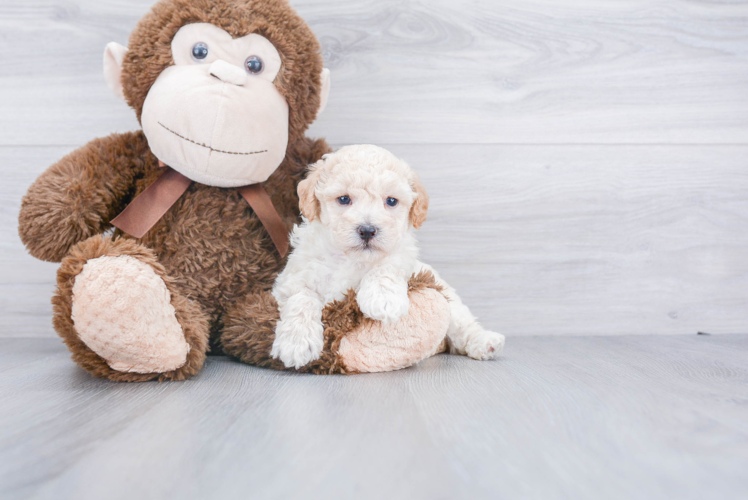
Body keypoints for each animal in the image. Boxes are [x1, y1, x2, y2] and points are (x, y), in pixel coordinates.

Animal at [272, 145, 506, 368]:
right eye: (344, 199)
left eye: (391, 201)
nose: (367, 230)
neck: (352, 259)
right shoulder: (291, 279)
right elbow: (301, 298)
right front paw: (297, 342)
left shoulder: (403, 254)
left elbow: (388, 264)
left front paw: (383, 299)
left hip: (450, 300)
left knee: (461, 327)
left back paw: (486, 342)